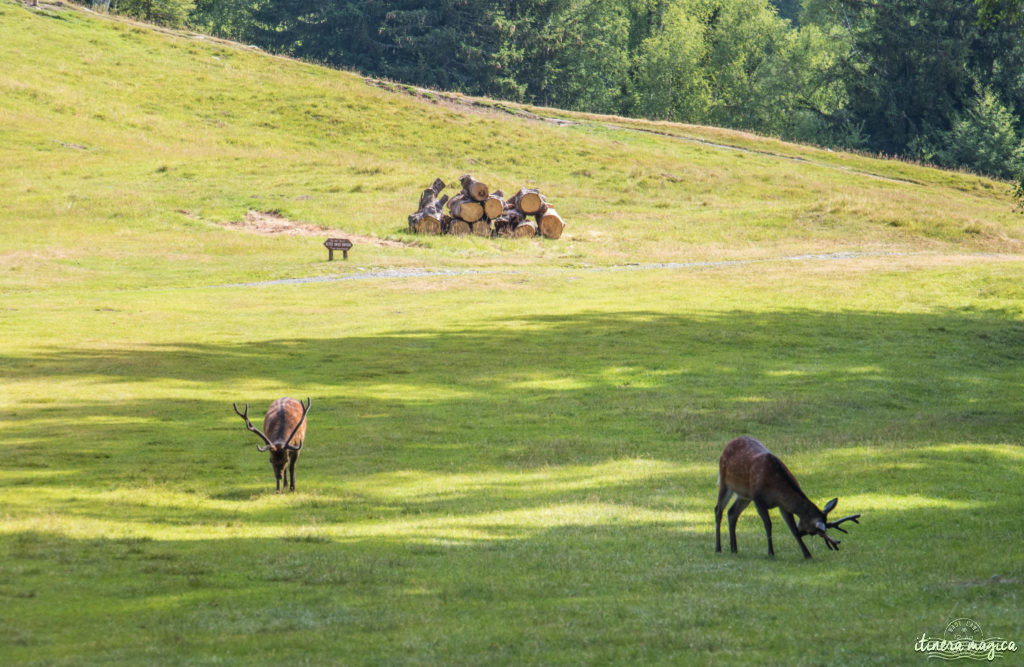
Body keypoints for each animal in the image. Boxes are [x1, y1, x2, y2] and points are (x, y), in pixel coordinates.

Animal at [712, 436, 864, 561]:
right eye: (813, 532)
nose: (803, 533)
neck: (776, 488)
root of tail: (729, 443)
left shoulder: (783, 505)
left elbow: (792, 529)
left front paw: (807, 554)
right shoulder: (758, 498)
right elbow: (768, 524)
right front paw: (771, 553)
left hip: (744, 495)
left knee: (732, 512)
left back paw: (734, 549)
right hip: (725, 482)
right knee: (718, 509)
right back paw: (718, 548)